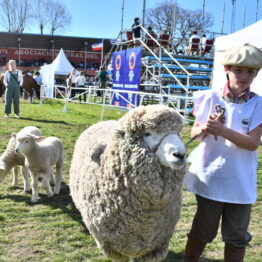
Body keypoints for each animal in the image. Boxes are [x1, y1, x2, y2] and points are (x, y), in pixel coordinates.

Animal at [69, 105, 186, 262]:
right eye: (147, 133)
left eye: (178, 133)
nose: (180, 155)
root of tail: (101, 122)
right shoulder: (113, 247)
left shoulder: (154, 247)